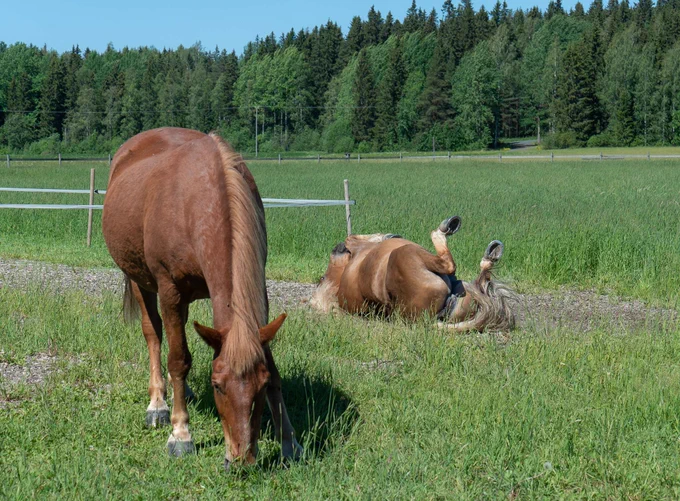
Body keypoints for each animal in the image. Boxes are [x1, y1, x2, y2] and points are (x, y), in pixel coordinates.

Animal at [102, 127, 302, 469]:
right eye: (217, 386)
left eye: (260, 386)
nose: (241, 460)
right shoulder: (169, 289)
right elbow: (178, 359)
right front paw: (180, 434)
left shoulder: (257, 293)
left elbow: (273, 367)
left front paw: (289, 441)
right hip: (141, 281)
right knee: (154, 335)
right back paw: (158, 403)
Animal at [310, 216, 516, 332]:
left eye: (321, 278)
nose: (336, 248)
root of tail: (427, 320)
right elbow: (355, 236)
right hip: (410, 254)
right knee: (450, 265)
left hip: (464, 291)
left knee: (482, 279)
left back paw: (491, 252)